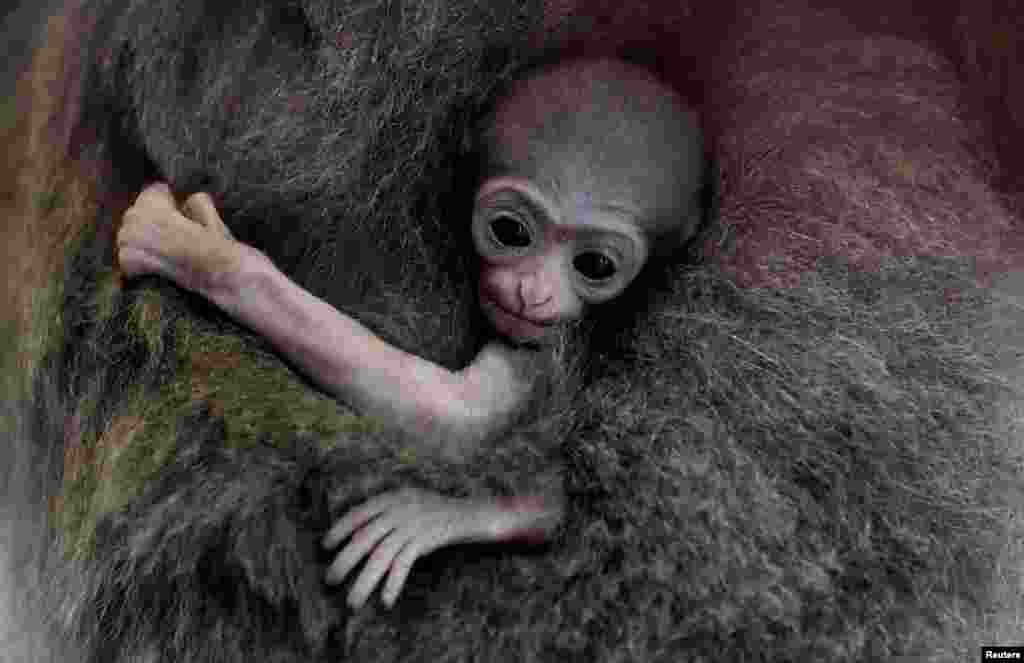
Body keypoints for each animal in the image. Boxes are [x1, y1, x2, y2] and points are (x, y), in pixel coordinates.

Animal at [116, 57, 705, 611]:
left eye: (596, 265)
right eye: (509, 231)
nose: (533, 291)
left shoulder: (554, 341)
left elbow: (460, 419)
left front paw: (207, 258)